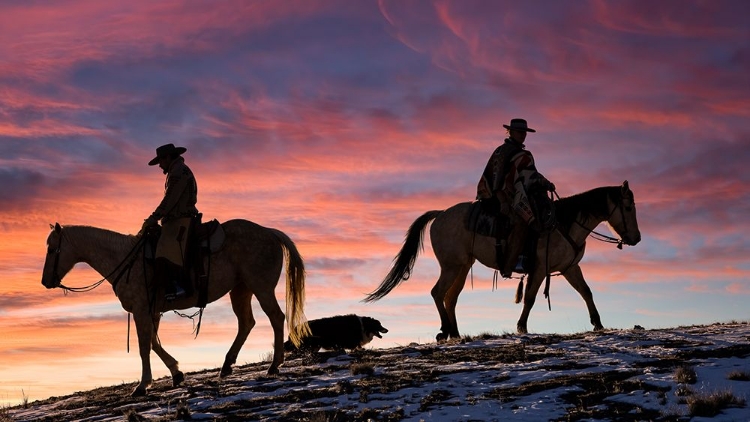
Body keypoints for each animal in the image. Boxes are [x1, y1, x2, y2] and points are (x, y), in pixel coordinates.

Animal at [40, 219, 312, 398]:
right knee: (246, 323)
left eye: (52, 248)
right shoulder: (152, 311)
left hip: (260, 287)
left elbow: (144, 346)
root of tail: (270, 232)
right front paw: (177, 373)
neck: (126, 258)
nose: (45, 281)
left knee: (275, 317)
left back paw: (274, 365)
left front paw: (142, 386)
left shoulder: (141, 310)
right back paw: (226, 366)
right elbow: (153, 343)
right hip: (241, 290)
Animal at [368, 181, 644, 340]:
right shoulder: (540, 269)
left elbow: (586, 292)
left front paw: (598, 323)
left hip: (463, 266)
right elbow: (530, 298)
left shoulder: (569, 267)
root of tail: (440, 214)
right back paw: (444, 330)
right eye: (628, 207)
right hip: (451, 266)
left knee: (450, 297)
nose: (637, 238)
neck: (564, 224)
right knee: (438, 293)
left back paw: (455, 332)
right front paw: (522, 327)